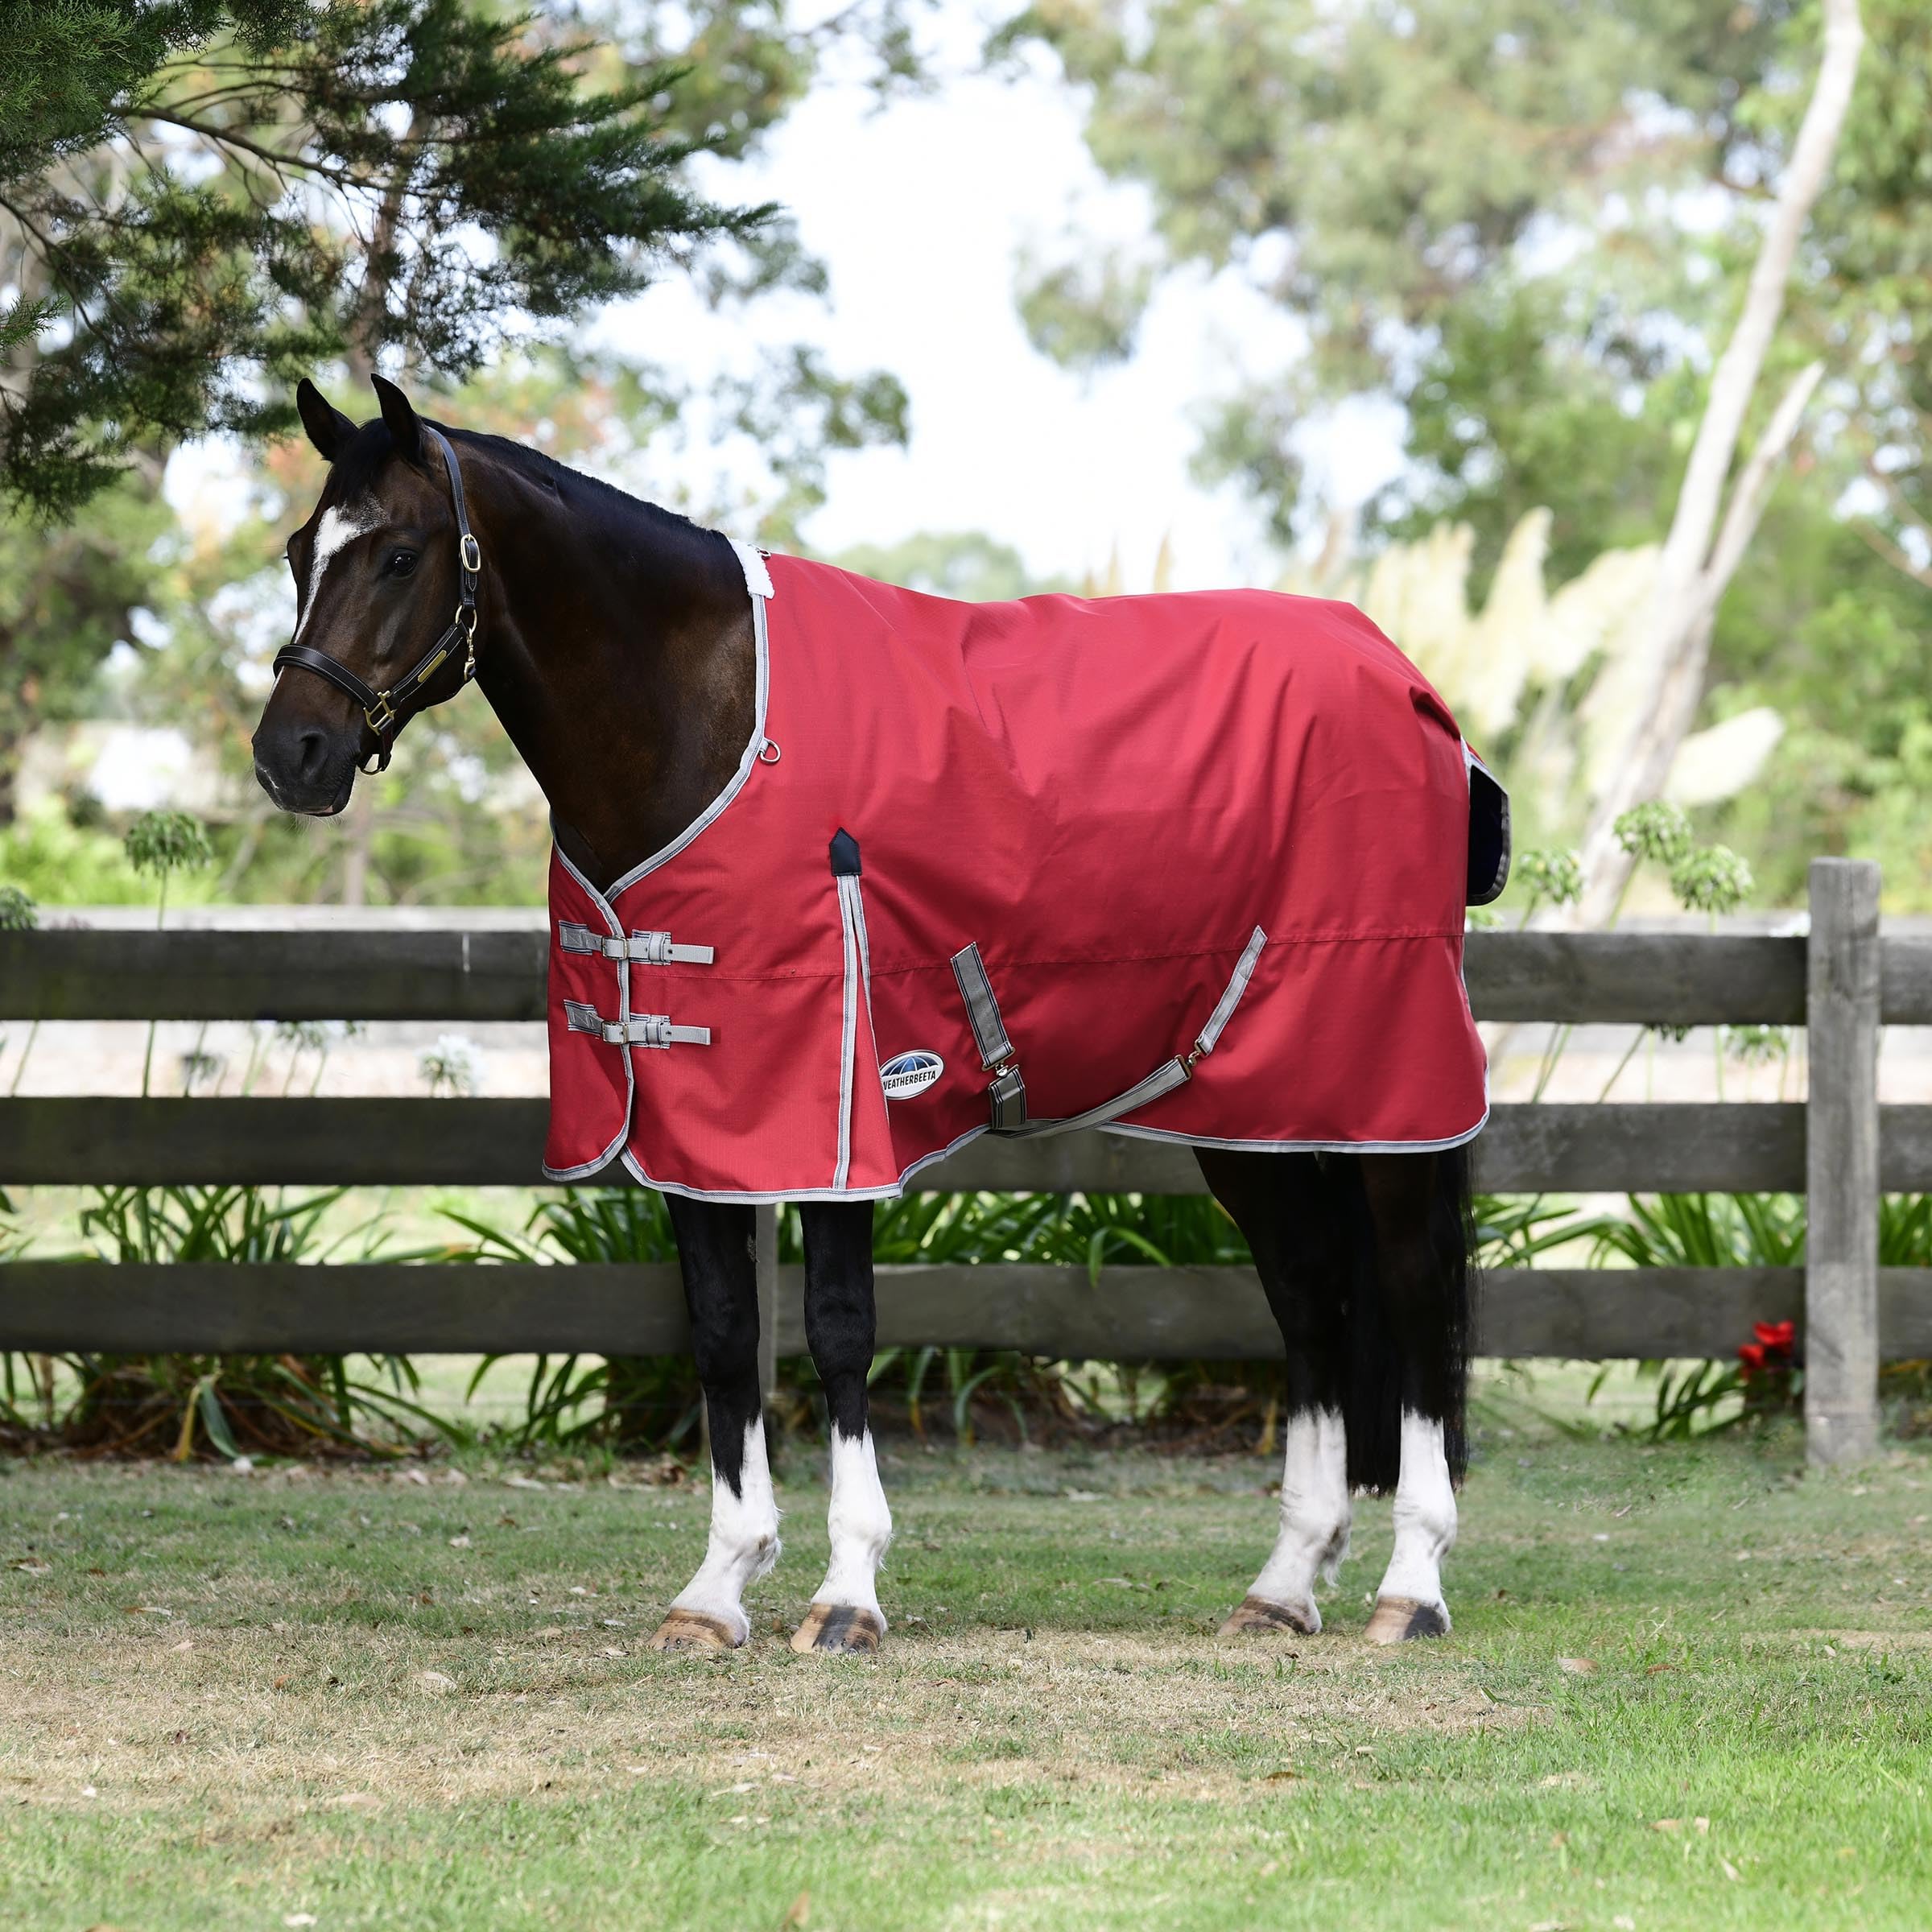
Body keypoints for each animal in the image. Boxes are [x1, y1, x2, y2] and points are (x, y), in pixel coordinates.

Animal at [251, 374, 1502, 1654]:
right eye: (301, 549)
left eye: (400, 554)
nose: (291, 753)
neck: (705, 721)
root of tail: (1405, 682)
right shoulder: (695, 1122)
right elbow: (723, 1334)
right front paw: (717, 1587)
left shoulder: (839, 1108)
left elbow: (840, 1329)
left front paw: (846, 1591)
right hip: (1252, 1110)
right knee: (1309, 1295)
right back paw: (1286, 1582)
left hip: (1390, 1092)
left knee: (1415, 1296)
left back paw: (1411, 1584)